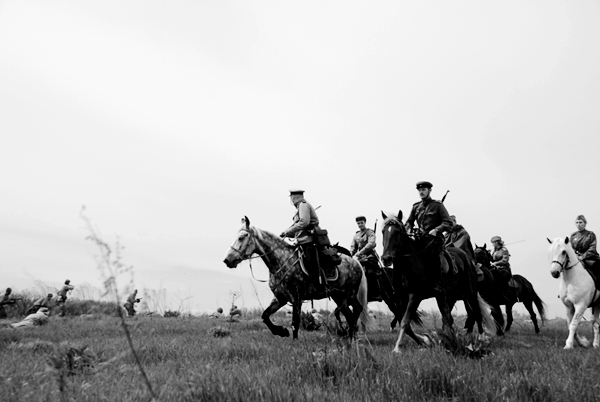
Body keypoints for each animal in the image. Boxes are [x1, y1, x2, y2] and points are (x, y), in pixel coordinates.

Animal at [223, 217, 378, 340]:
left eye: (242, 237)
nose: (227, 260)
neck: (281, 261)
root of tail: (355, 261)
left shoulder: (296, 298)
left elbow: (295, 323)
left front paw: (294, 341)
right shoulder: (280, 298)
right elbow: (265, 316)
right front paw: (281, 331)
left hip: (350, 294)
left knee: (357, 310)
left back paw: (352, 336)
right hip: (339, 297)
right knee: (349, 315)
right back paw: (350, 336)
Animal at [382, 210, 494, 352]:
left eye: (397, 232)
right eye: (383, 231)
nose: (386, 258)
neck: (410, 263)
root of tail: (468, 259)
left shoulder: (415, 296)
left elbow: (405, 321)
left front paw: (397, 348)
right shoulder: (402, 297)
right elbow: (406, 325)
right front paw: (425, 340)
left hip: (470, 293)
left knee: (477, 314)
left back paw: (480, 341)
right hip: (447, 296)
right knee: (448, 319)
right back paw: (446, 340)